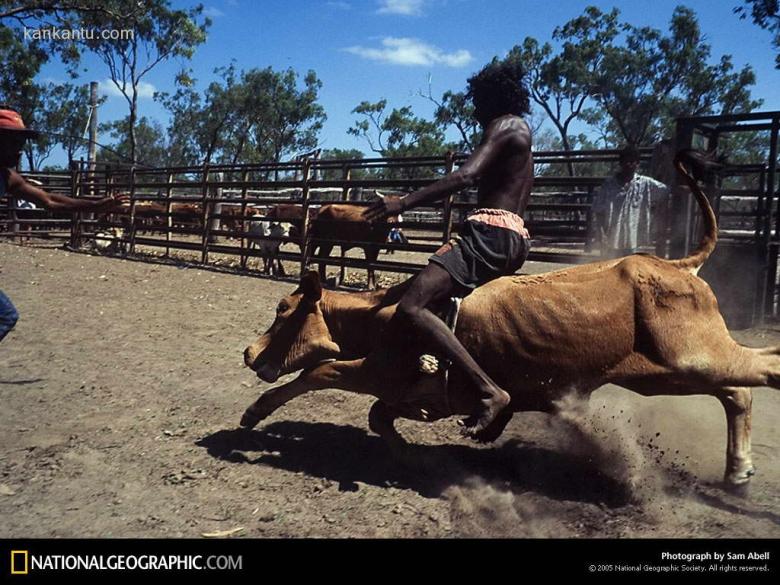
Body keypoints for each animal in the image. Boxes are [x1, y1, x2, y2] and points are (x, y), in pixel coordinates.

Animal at [241, 153, 776, 490]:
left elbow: (320, 372)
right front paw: (422, 452)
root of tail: (677, 264)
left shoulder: (377, 370)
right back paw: (737, 471)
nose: (248, 352)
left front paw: (254, 414)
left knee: (758, 373)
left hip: (689, 359)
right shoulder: (409, 392)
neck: (380, 315)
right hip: (665, 373)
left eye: (283, 310)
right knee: (737, 391)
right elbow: (379, 416)